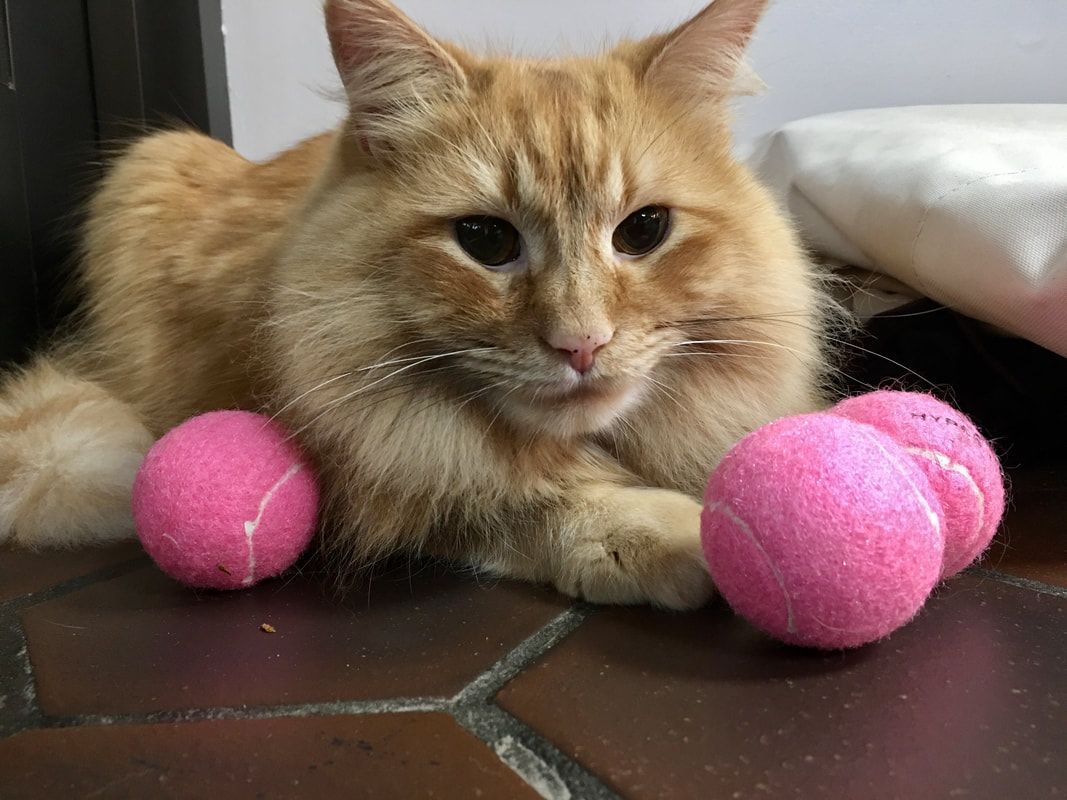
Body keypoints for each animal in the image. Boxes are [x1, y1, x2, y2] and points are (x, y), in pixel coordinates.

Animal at [0, 0, 823, 610]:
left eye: (643, 230)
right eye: (486, 240)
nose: (580, 344)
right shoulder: (370, 468)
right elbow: (517, 500)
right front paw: (676, 535)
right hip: (151, 165)